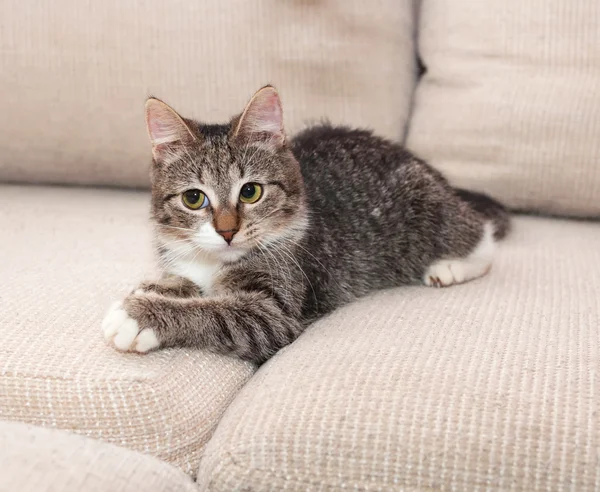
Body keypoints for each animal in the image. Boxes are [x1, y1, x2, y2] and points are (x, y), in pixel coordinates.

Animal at [101, 84, 508, 364]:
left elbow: (221, 312)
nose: (227, 231)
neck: (216, 262)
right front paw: (155, 289)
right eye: (193, 198)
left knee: (480, 232)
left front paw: (139, 315)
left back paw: (452, 265)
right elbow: (179, 281)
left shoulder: (277, 309)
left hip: (423, 211)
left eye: (250, 192)